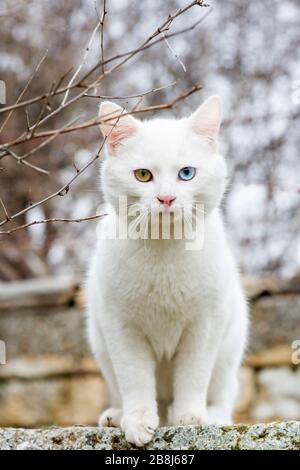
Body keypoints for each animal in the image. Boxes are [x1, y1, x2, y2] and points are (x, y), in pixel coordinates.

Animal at [85, 95, 247, 448]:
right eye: (143, 175)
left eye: (187, 173)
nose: (167, 198)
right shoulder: (120, 325)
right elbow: (134, 378)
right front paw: (137, 421)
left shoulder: (205, 323)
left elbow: (193, 375)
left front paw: (190, 419)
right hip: (101, 347)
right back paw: (117, 416)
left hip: (230, 348)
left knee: (223, 395)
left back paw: (212, 416)